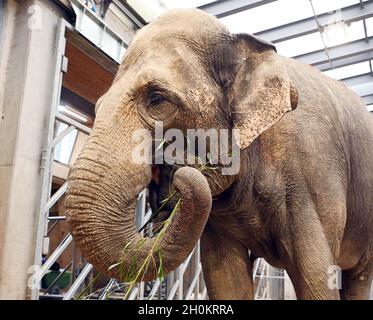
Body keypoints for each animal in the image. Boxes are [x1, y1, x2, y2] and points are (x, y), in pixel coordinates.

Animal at [64, 10, 372, 300]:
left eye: (157, 99)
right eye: (98, 106)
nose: (178, 172)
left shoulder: (312, 177)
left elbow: (316, 279)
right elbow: (224, 275)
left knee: (357, 279)